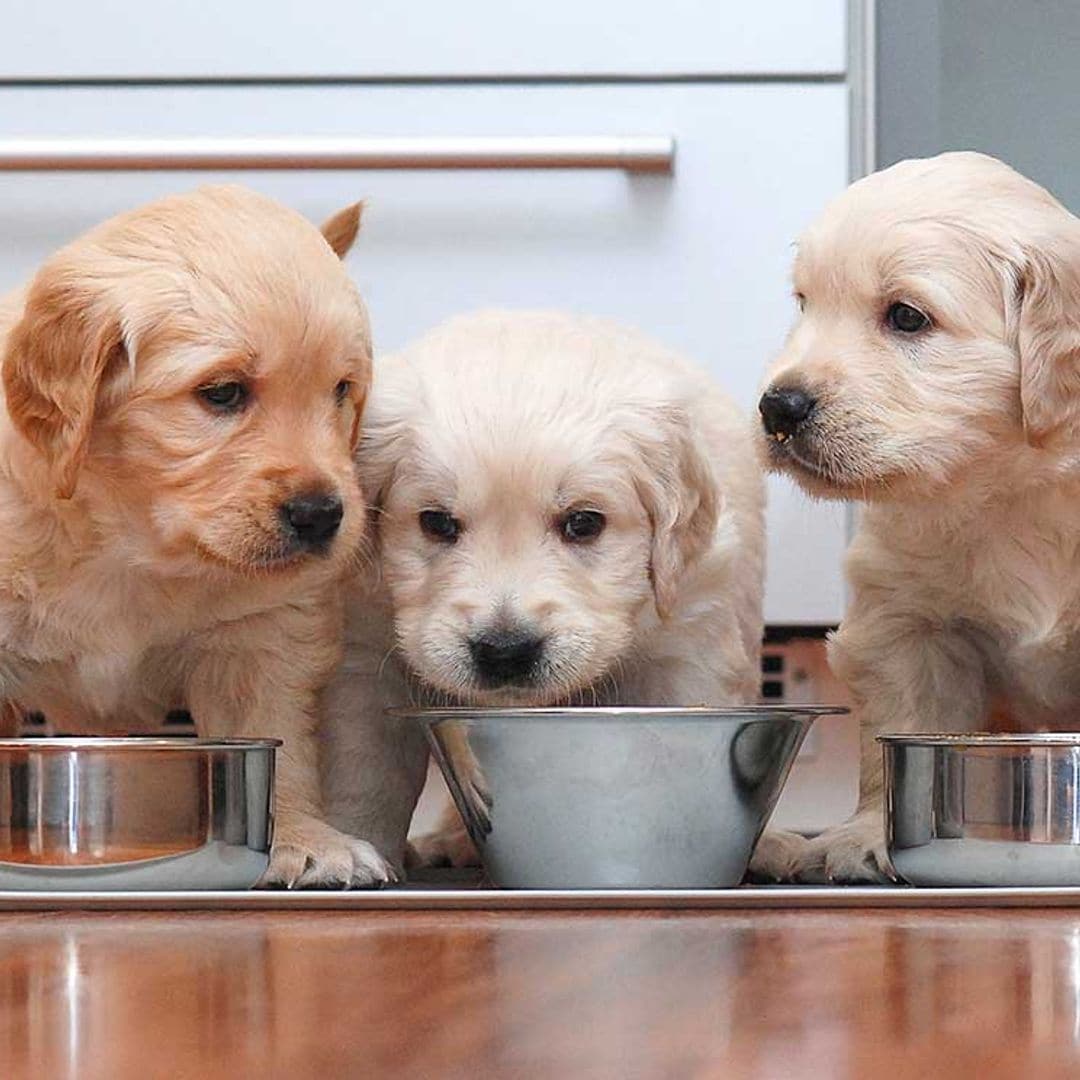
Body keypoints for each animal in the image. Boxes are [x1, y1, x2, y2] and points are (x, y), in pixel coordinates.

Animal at [0, 187, 388, 885]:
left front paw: (303, 838)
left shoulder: (263, 632)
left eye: (342, 390)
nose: (322, 514)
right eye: (223, 393)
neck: (132, 541)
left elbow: (277, 738)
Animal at [319, 306, 768, 876]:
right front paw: (352, 851)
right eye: (436, 522)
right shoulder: (363, 651)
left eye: (583, 522)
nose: (504, 650)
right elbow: (365, 775)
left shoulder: (687, 645)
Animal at [756, 152, 1080, 881]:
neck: (1010, 487)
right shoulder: (904, 623)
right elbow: (895, 732)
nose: (777, 407)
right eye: (803, 304)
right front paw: (866, 837)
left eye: (906, 317)